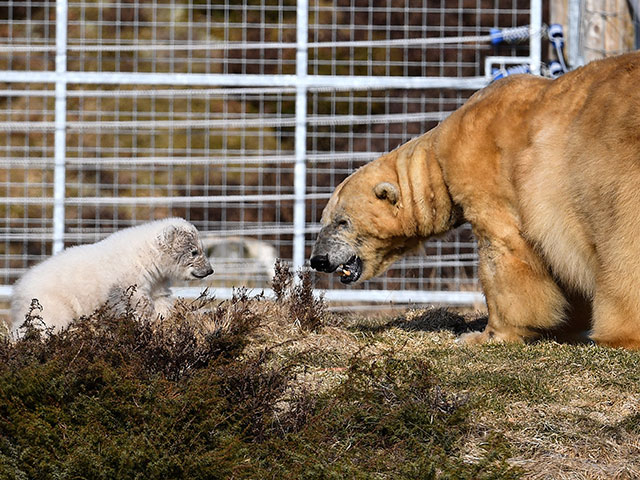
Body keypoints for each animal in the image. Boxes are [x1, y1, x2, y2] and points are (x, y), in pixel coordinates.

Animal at [10, 218, 214, 330]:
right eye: (194, 251)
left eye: (202, 248)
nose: (209, 270)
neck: (145, 256)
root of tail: (19, 286)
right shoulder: (127, 277)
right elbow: (133, 299)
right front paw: (144, 315)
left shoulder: (157, 278)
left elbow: (160, 297)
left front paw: (162, 317)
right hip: (51, 301)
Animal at [312, 50, 640, 346]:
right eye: (324, 220)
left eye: (341, 222)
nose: (318, 260)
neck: (438, 157)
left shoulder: (484, 172)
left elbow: (504, 250)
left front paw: (485, 335)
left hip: (613, 167)